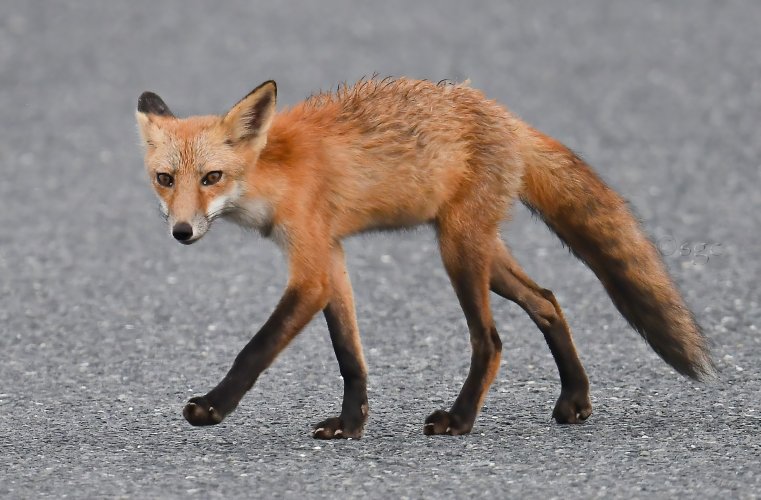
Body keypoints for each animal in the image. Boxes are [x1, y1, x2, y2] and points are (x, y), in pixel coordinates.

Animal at [135, 77, 712, 438]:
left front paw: (214, 407)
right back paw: (574, 398)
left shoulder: (311, 267)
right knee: (548, 301)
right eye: (165, 179)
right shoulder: (330, 260)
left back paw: (460, 420)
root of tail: (503, 115)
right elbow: (350, 355)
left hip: (459, 253)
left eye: (212, 177)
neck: (273, 173)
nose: (182, 231)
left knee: (491, 340)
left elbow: (255, 349)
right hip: (484, 253)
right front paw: (351, 425)